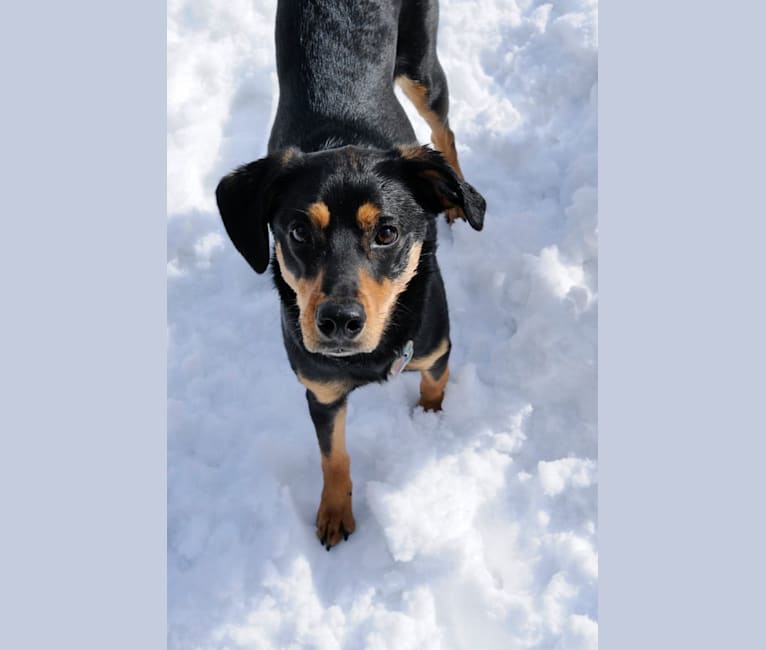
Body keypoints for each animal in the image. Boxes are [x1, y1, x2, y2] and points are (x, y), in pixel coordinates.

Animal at [216, 0, 486, 548]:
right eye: (298, 231)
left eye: (387, 232)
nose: (339, 321)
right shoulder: (319, 390)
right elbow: (333, 457)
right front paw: (335, 514)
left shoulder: (436, 349)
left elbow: (433, 388)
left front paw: (429, 423)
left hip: (421, 66)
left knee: (443, 131)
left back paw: (456, 196)